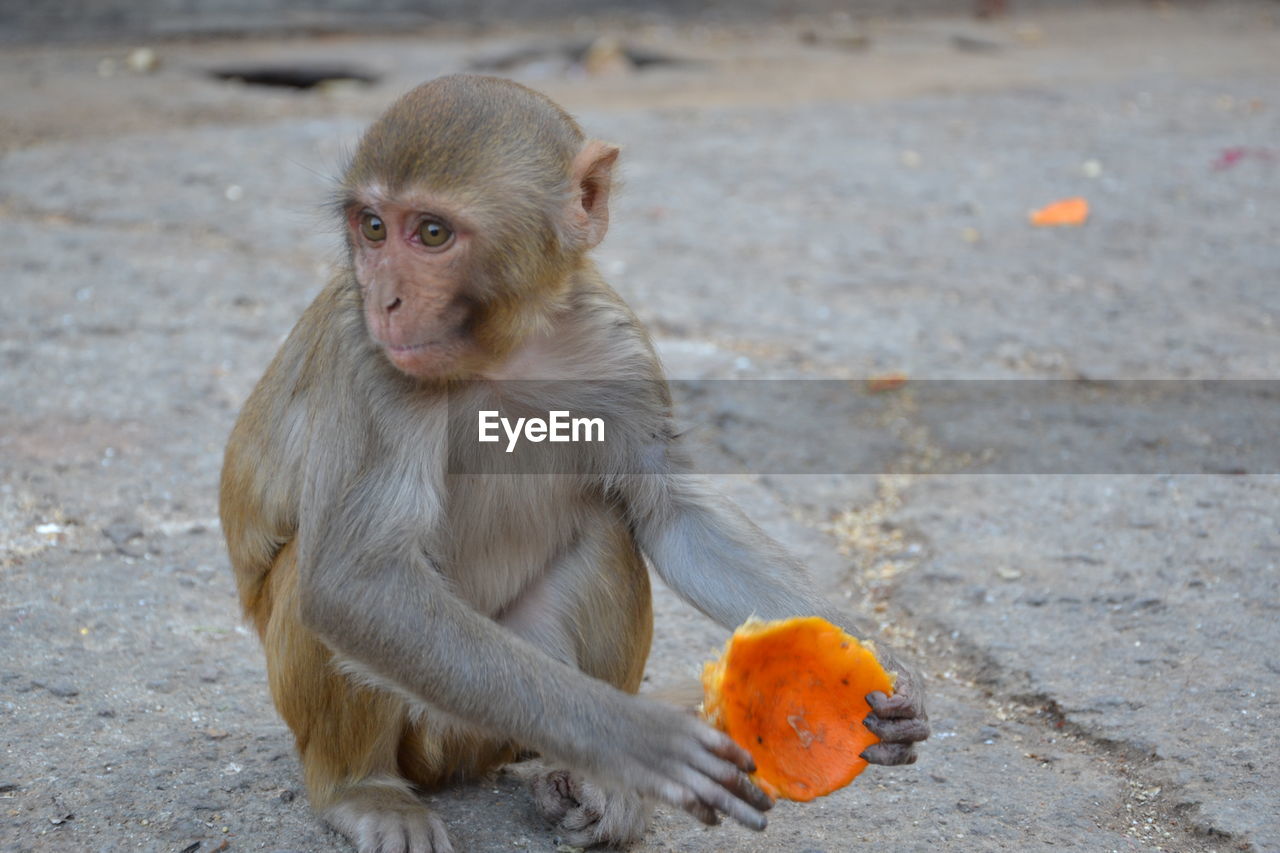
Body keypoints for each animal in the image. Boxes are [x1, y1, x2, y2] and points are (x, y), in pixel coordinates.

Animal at [215, 74, 926, 850]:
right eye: (372, 227)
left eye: (431, 233)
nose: (387, 299)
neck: (505, 347)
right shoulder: (368, 361)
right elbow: (355, 579)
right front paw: (634, 740)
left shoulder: (617, 343)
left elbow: (668, 513)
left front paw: (875, 654)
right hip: (440, 717)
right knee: (317, 580)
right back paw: (363, 789)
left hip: (496, 721)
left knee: (609, 529)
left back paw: (587, 781)